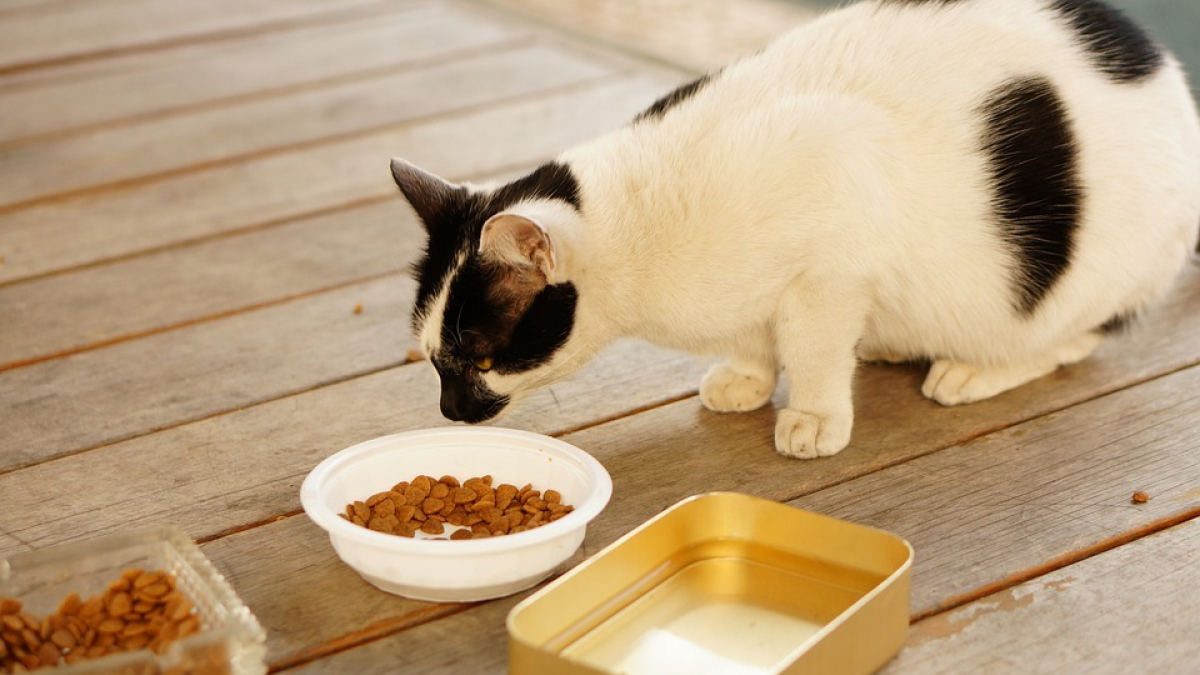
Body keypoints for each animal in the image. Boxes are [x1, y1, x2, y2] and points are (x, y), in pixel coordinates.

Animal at [388, 0, 1195, 456]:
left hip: (1093, 276)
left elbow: (811, 349)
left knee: (1074, 338)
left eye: (478, 359)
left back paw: (974, 368)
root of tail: (1164, 69)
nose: (449, 411)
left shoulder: (832, 265)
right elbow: (756, 339)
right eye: (432, 360)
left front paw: (811, 414)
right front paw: (747, 376)